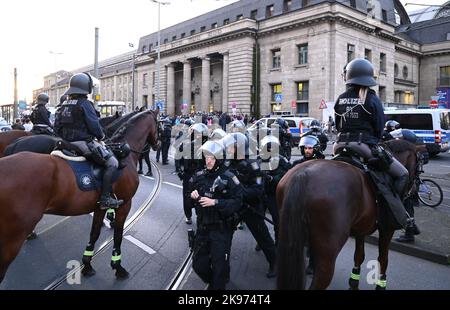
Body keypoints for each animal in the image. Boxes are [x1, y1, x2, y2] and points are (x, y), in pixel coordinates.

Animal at [0, 109, 161, 284]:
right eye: (159, 123)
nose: (157, 144)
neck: (123, 154)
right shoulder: (125, 204)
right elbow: (118, 235)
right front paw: (118, 267)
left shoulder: (99, 207)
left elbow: (94, 233)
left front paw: (87, 265)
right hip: (12, 239)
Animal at [276, 139, 420, 290]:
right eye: (418, 164)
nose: (414, 190)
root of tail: (303, 175)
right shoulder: (387, 229)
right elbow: (383, 259)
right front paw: (381, 285)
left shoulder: (361, 229)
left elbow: (359, 256)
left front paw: (354, 283)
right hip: (328, 252)